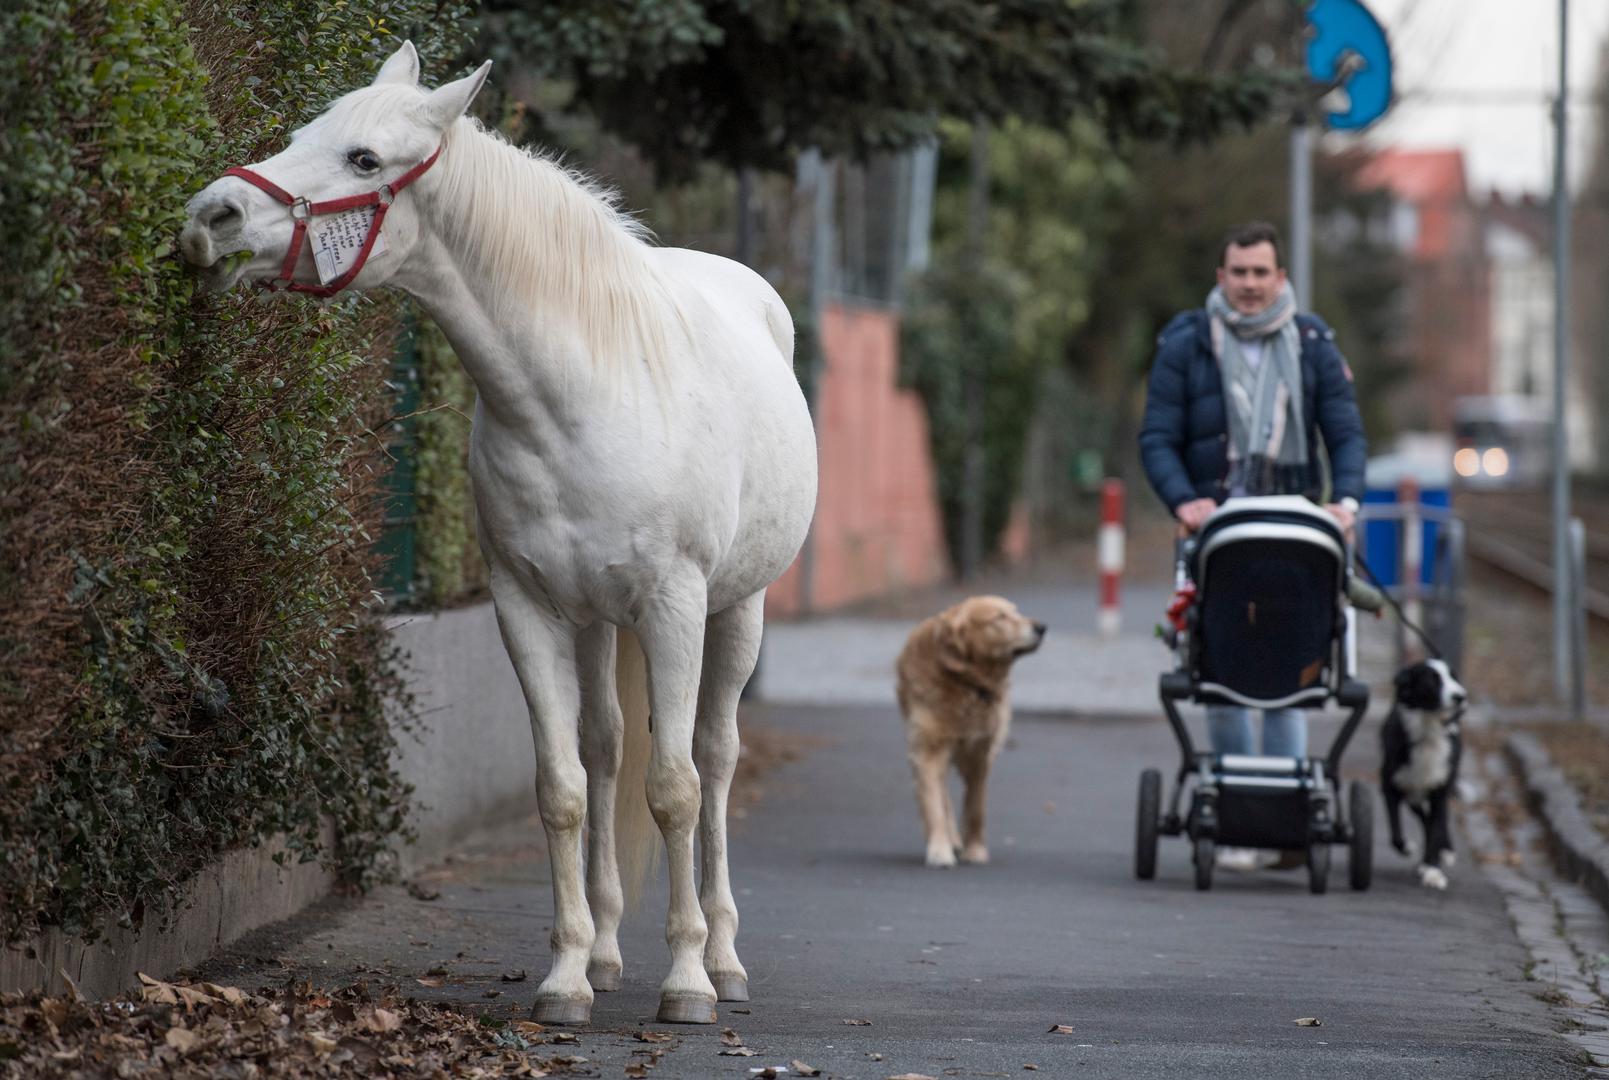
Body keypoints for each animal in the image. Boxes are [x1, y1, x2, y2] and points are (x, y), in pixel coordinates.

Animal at [179, 42, 817, 1023]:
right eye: (303, 133)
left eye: (364, 158)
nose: (211, 216)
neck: (581, 396)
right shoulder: (527, 607)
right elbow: (561, 789)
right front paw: (565, 978)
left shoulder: (674, 605)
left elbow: (674, 790)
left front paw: (686, 983)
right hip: (596, 622)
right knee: (605, 751)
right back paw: (607, 955)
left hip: (734, 609)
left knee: (712, 759)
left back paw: (724, 959)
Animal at [894, 598, 1042, 869]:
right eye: (999, 617)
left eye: (1016, 612)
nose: (1041, 627)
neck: (967, 683)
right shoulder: (928, 751)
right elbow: (934, 803)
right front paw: (939, 849)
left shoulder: (980, 754)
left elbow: (975, 806)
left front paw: (975, 850)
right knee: (941, 794)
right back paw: (949, 838)